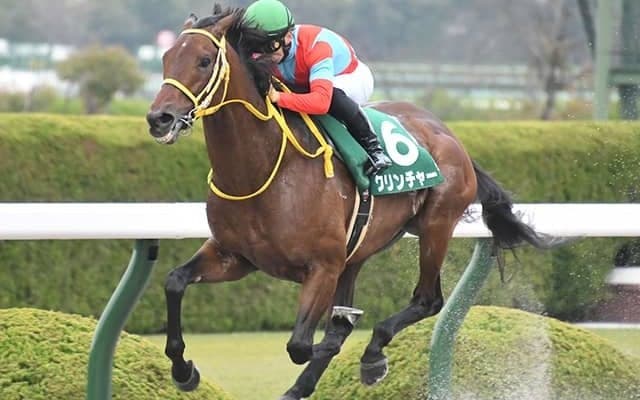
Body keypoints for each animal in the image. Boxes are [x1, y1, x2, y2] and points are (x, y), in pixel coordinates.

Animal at [146, 6, 557, 400]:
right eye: (166, 57)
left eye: (203, 60)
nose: (158, 118)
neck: (262, 170)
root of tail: (449, 135)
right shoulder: (235, 256)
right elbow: (175, 281)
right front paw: (183, 371)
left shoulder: (322, 267)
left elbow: (303, 344)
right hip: (358, 250)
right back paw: (304, 385)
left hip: (436, 225)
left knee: (427, 300)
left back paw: (372, 355)